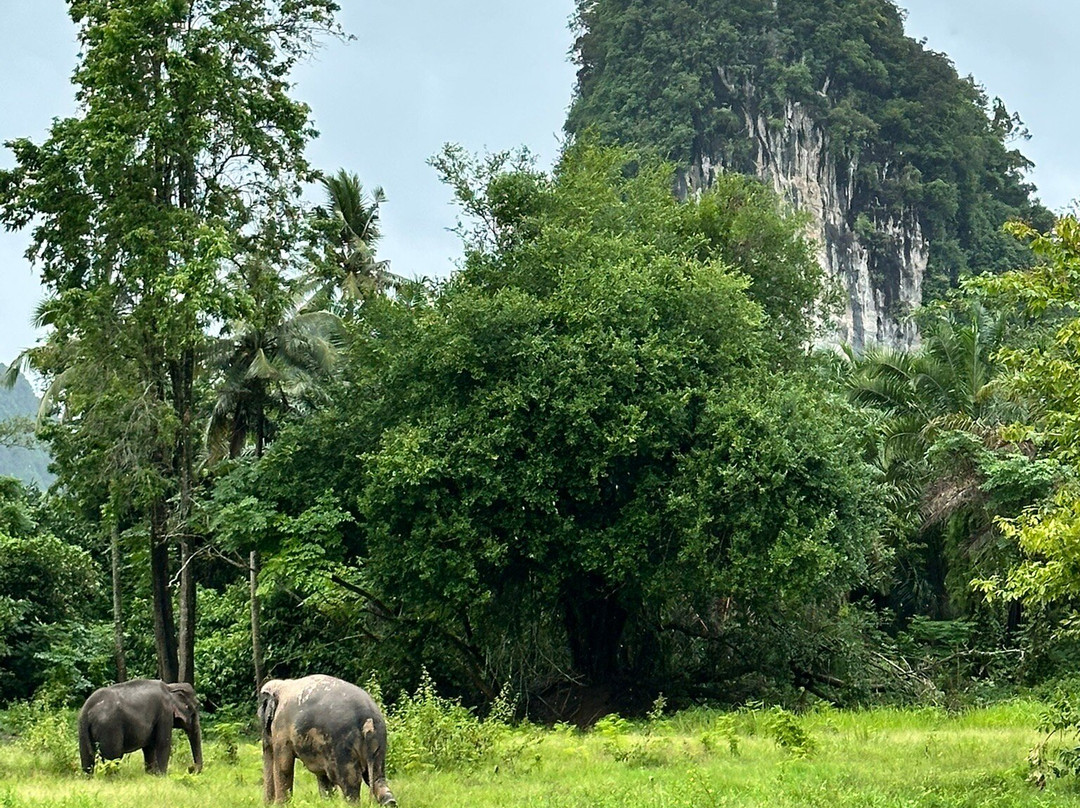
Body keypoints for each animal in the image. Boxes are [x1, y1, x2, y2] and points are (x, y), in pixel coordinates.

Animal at [258, 674, 396, 805]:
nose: (268, 804)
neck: (282, 684)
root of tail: (368, 721)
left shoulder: (281, 727)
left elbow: (284, 765)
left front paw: (281, 804)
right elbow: (322, 775)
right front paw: (327, 802)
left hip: (342, 747)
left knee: (350, 783)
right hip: (379, 741)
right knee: (377, 777)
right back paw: (390, 802)